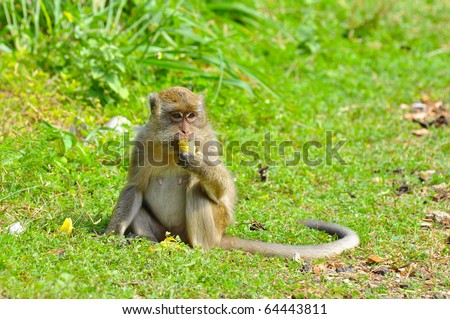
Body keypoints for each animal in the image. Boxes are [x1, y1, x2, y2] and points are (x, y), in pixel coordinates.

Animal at [104, 86, 358, 258]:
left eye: (191, 116)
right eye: (177, 116)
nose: (186, 131)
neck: (169, 150)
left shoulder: (207, 141)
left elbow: (222, 188)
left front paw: (194, 161)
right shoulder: (142, 143)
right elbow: (134, 188)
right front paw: (111, 235)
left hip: (216, 224)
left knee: (196, 188)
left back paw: (200, 248)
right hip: (164, 232)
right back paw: (146, 240)